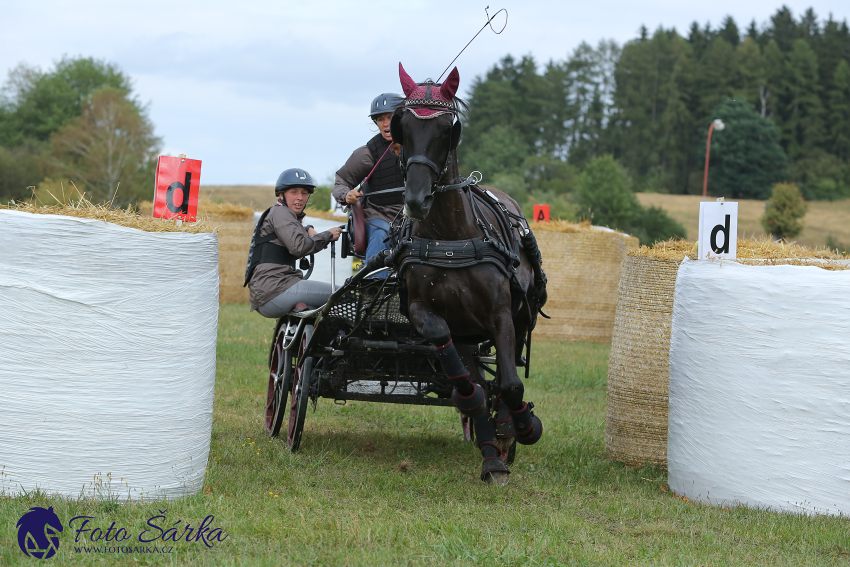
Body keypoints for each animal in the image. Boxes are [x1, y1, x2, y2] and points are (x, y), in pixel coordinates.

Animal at [384, 65, 544, 484]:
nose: (416, 199)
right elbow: (466, 381)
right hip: (470, 336)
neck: (450, 237)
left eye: (446, 129)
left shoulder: (501, 315)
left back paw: (506, 433)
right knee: (476, 381)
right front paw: (475, 411)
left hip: (520, 318)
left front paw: (522, 428)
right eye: (404, 126)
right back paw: (491, 451)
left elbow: (510, 383)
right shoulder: (429, 314)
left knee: (507, 375)